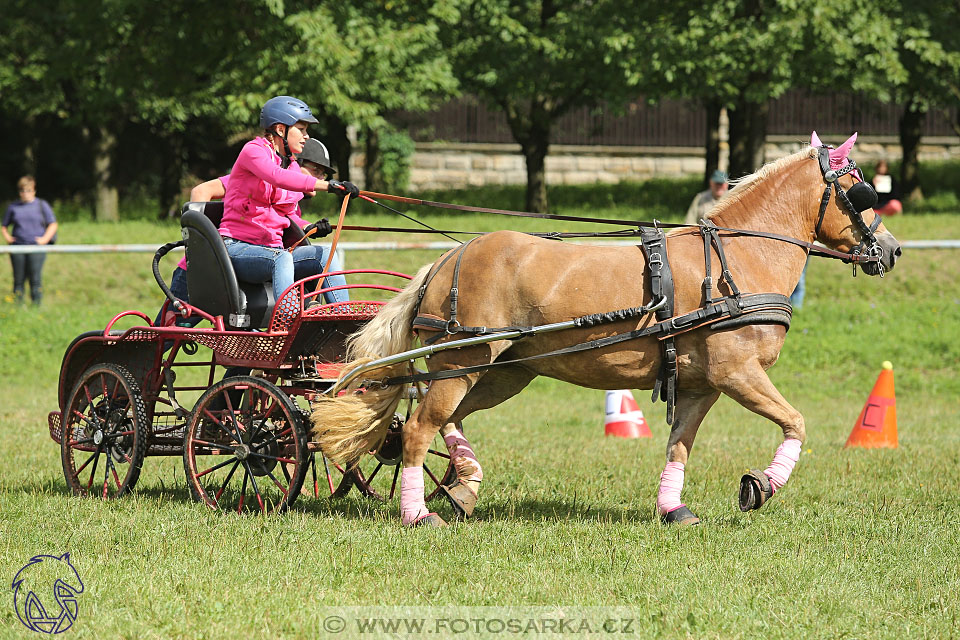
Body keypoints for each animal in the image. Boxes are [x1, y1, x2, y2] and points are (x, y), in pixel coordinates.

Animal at [314, 134, 900, 524]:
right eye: (861, 192)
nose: (891, 250)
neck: (738, 257)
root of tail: (447, 258)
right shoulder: (739, 374)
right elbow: (796, 422)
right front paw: (762, 486)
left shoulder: (701, 386)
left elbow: (679, 446)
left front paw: (673, 508)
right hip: (462, 362)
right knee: (418, 429)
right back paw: (419, 513)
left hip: (503, 370)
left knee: (447, 420)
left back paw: (464, 488)